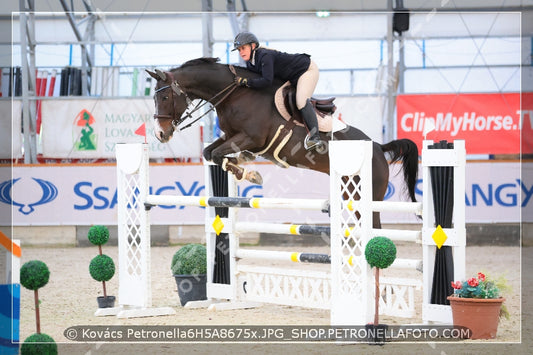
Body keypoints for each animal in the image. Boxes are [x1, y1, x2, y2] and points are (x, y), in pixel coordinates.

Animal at [147, 55, 420, 228]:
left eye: (166, 97)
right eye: (155, 98)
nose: (161, 134)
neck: (235, 93)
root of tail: (378, 147)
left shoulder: (251, 137)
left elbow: (216, 154)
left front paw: (251, 175)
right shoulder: (231, 136)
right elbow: (210, 153)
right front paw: (244, 166)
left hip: (368, 195)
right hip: (349, 191)